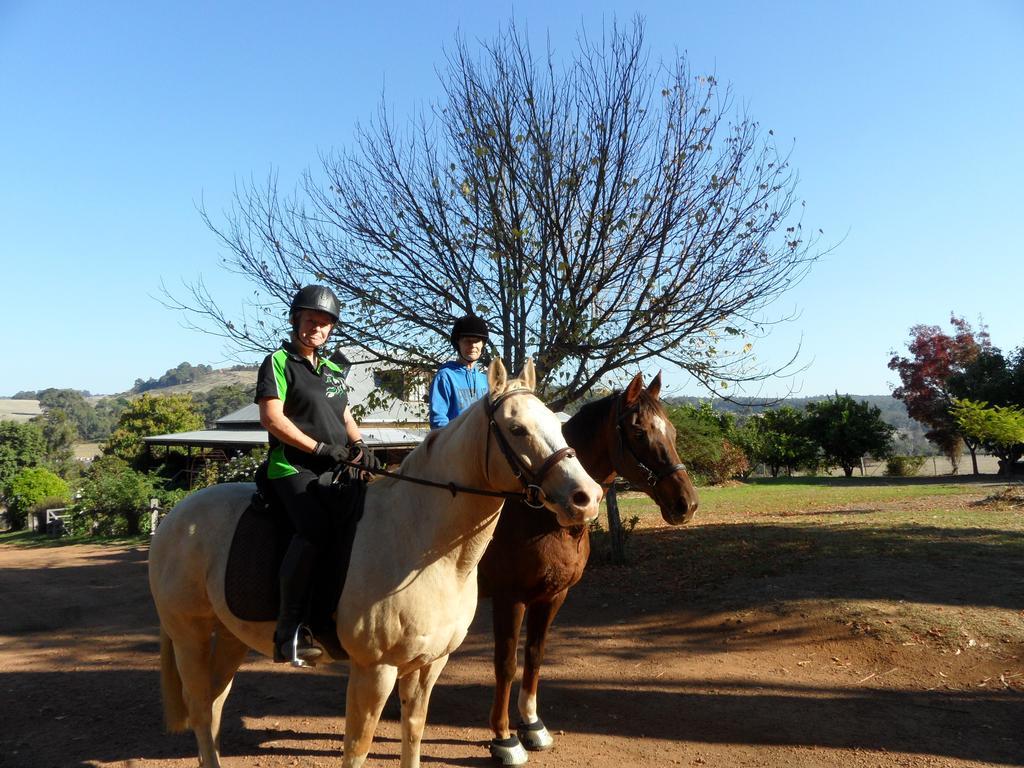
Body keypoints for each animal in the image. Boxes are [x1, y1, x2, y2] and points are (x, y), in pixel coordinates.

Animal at [148, 360, 602, 768]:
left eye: (557, 425)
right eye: (517, 429)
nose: (587, 497)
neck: (425, 544)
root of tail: (174, 517)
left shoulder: (429, 665)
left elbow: (413, 735)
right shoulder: (375, 669)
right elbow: (357, 750)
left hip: (231, 635)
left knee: (213, 704)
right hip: (189, 634)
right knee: (200, 707)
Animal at [477, 370, 700, 765]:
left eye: (672, 431)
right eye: (639, 433)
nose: (685, 504)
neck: (540, 515)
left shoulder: (552, 596)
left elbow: (535, 654)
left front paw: (532, 724)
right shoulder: (508, 599)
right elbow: (505, 664)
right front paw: (504, 738)